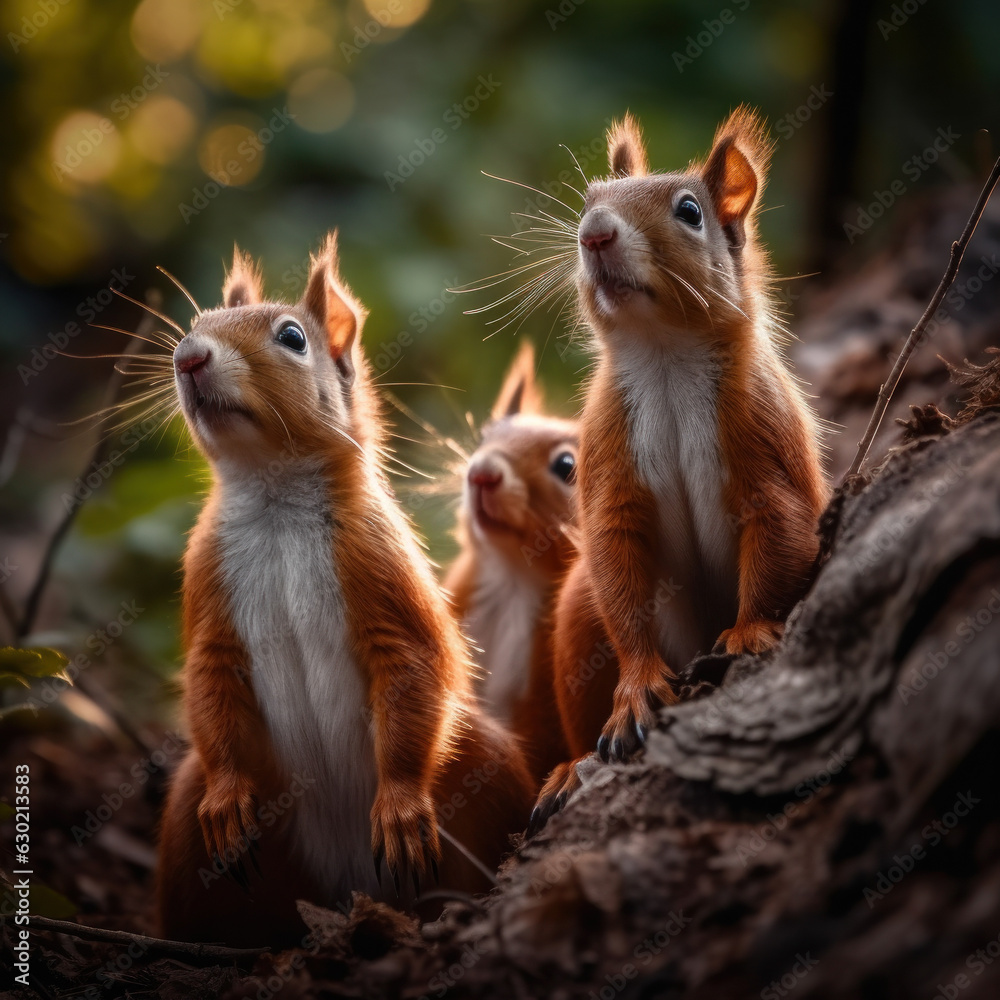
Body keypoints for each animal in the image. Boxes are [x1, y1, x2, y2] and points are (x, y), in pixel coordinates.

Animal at [155, 233, 534, 945]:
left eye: (292, 337)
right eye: (194, 325)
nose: (188, 357)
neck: (274, 496)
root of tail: (345, 892)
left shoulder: (379, 566)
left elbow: (415, 663)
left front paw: (402, 806)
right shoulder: (208, 580)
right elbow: (207, 677)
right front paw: (227, 796)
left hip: (484, 763)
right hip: (190, 830)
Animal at [532, 108, 829, 826]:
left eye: (690, 211)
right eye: (590, 199)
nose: (593, 233)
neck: (664, 353)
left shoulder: (764, 444)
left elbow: (780, 534)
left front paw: (750, 632)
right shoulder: (608, 458)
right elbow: (619, 572)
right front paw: (637, 689)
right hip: (577, 615)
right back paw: (566, 769)